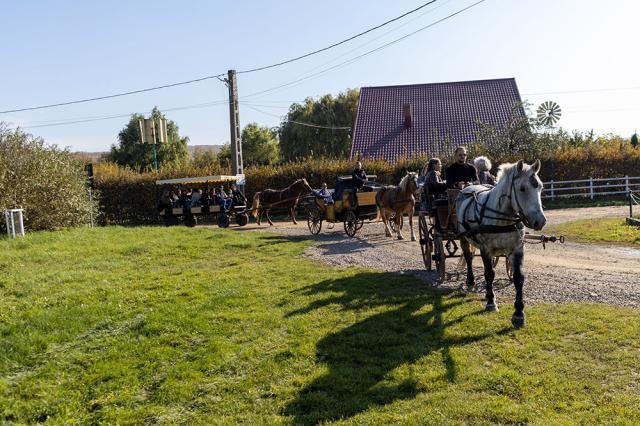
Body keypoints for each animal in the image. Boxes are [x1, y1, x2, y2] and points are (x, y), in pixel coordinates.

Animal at [456, 161, 544, 330]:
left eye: (541, 187)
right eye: (522, 188)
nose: (540, 221)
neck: (501, 217)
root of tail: (468, 187)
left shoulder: (517, 250)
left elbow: (518, 278)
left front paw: (518, 314)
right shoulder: (486, 249)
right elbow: (489, 274)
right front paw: (491, 302)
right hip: (463, 237)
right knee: (468, 257)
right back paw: (470, 281)